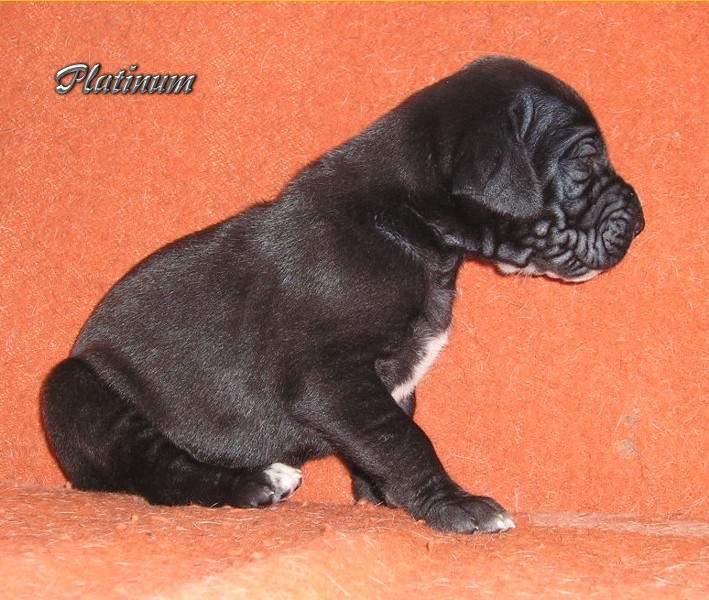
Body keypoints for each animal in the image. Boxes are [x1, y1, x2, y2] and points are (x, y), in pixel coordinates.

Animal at [42, 57, 644, 534]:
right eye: (585, 159)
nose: (640, 221)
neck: (410, 225)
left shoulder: (385, 382)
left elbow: (386, 434)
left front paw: (385, 498)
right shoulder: (331, 376)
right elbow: (402, 438)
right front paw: (455, 507)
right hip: (72, 388)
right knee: (160, 475)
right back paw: (257, 483)